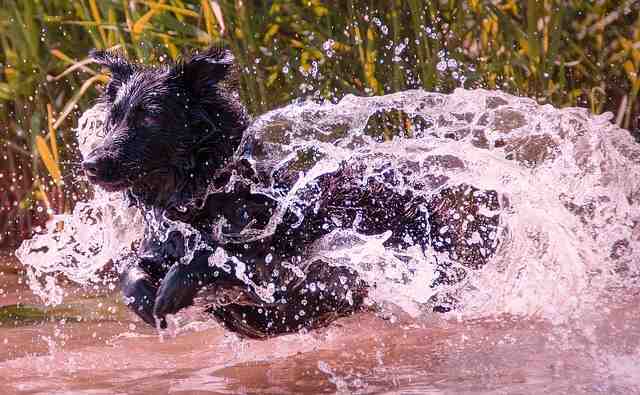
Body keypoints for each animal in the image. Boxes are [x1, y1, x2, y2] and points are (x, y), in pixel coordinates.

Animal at [84, 46, 500, 338]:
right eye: (112, 119)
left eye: (151, 117)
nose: (90, 164)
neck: (207, 197)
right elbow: (130, 271)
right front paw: (144, 299)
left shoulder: (277, 271)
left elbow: (214, 258)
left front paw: (173, 287)